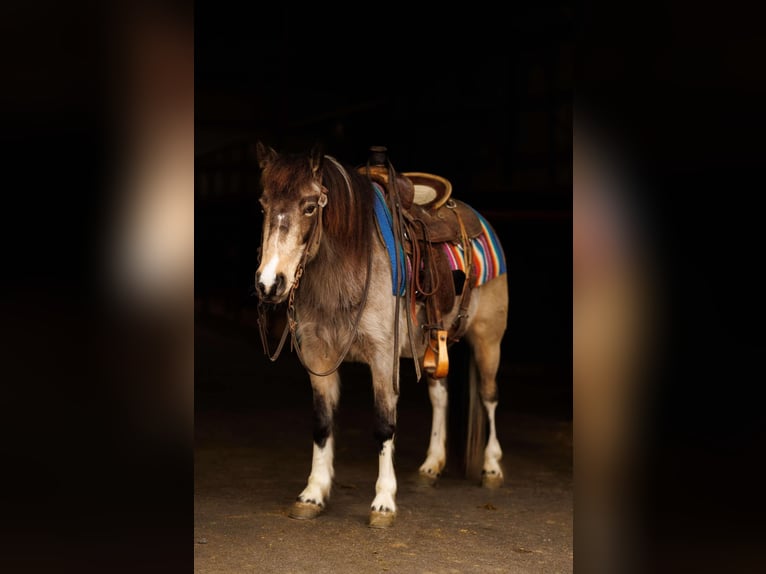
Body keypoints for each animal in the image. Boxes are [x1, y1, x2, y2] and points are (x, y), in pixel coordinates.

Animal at [255, 144, 512, 532]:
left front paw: (384, 502)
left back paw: (492, 467)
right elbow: (322, 422)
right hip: (432, 345)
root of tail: (480, 220)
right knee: (440, 396)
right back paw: (431, 464)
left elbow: (383, 424)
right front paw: (313, 493)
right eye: (263, 205)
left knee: (489, 395)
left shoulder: (381, 357)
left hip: (488, 340)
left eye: (310, 207)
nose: (270, 284)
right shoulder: (318, 355)